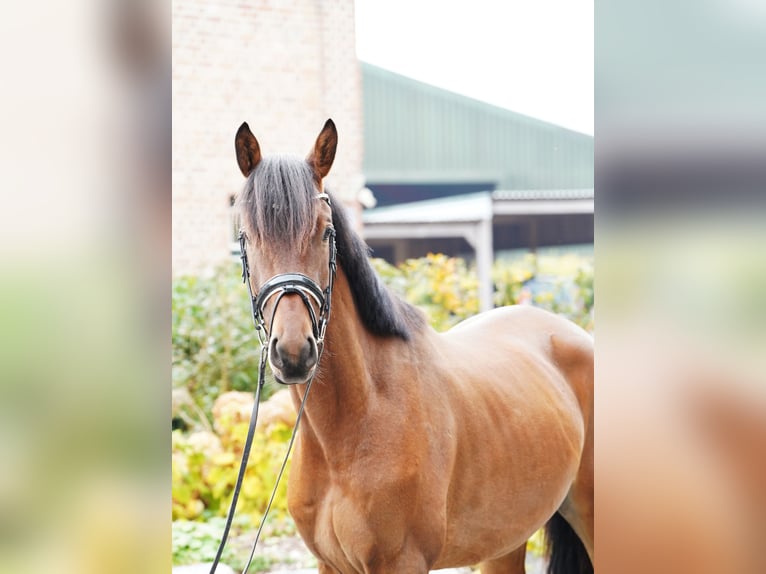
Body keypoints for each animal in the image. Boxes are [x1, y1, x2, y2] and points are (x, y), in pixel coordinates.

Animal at [232, 119, 592, 572]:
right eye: (246, 237)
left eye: (325, 232)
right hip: (505, 540)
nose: (294, 351)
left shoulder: (401, 562)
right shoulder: (330, 565)